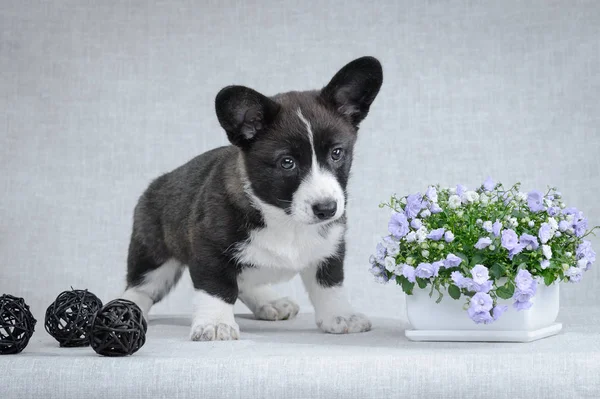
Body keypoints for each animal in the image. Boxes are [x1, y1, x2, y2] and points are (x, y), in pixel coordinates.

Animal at [122, 55, 384, 340]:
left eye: (337, 153)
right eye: (287, 162)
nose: (327, 208)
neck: (284, 217)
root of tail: (159, 182)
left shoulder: (330, 247)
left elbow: (330, 284)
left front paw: (340, 315)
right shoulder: (209, 249)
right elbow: (217, 288)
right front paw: (216, 323)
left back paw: (269, 301)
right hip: (154, 255)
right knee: (141, 287)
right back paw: (128, 309)